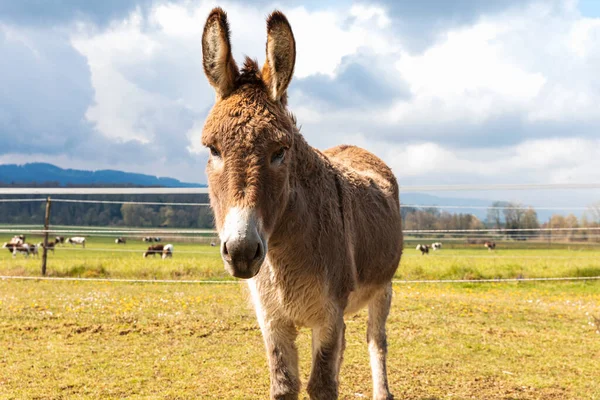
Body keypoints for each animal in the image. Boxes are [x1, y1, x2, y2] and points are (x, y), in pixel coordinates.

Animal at [199, 10, 400, 400]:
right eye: (213, 150)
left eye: (280, 151)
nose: (242, 250)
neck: (284, 256)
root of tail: (354, 147)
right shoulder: (273, 321)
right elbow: (285, 385)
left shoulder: (327, 317)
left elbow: (321, 385)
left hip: (382, 289)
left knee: (376, 340)